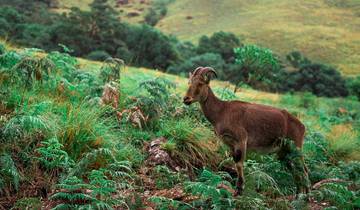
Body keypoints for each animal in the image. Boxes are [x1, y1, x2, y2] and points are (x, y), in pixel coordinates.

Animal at [183, 66, 310, 194]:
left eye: (200, 83)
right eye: (189, 82)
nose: (186, 99)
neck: (222, 111)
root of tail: (302, 126)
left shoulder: (241, 140)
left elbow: (239, 164)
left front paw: (239, 189)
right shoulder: (230, 144)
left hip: (295, 147)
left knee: (303, 170)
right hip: (284, 151)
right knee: (296, 170)